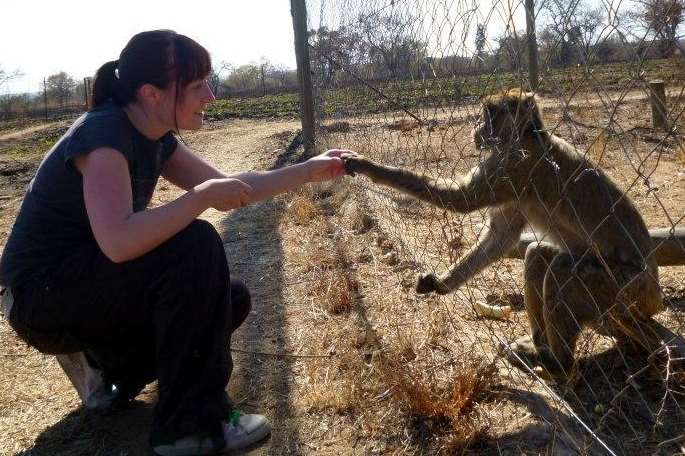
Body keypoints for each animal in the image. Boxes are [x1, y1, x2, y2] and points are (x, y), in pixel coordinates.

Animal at [344, 88, 664, 378]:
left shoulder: (513, 165)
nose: (476, 127)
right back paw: (540, 346)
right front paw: (442, 283)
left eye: (489, 114)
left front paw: (369, 168)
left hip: (625, 289)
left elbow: (461, 201)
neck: (529, 136)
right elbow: (500, 237)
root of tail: (655, 296)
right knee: (539, 255)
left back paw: (558, 364)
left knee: (564, 270)